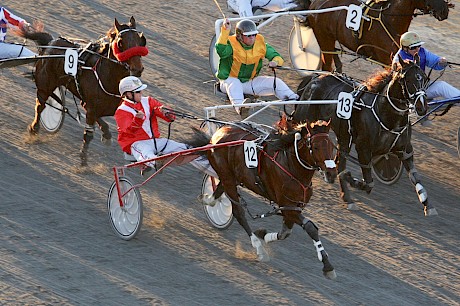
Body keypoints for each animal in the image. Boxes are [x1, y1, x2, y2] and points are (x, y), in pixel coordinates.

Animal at [17, 16, 147, 165]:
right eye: (120, 43)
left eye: (141, 40)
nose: (137, 69)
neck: (108, 76)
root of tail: (50, 43)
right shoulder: (91, 108)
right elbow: (88, 134)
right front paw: (83, 159)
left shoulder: (102, 106)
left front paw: (107, 135)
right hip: (45, 85)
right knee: (40, 105)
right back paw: (34, 128)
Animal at [194, 117, 338, 280]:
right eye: (316, 146)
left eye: (332, 146)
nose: (332, 174)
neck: (291, 165)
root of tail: (219, 133)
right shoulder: (289, 207)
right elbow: (310, 228)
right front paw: (328, 266)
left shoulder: (292, 207)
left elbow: (284, 233)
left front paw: (263, 234)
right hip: (228, 178)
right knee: (238, 212)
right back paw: (259, 248)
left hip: (230, 177)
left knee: (219, 191)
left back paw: (208, 200)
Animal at [292, 56, 436, 216]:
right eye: (408, 79)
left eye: (424, 78)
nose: (422, 107)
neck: (386, 115)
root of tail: (315, 78)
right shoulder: (364, 149)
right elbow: (368, 183)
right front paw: (351, 179)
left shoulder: (405, 150)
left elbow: (416, 178)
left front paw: (428, 205)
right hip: (304, 119)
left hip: (342, 136)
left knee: (339, 161)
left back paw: (343, 191)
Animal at [294, 0, 450, 71]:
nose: (445, 10)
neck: (390, 20)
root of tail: (315, 3)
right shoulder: (388, 60)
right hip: (324, 37)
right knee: (326, 64)